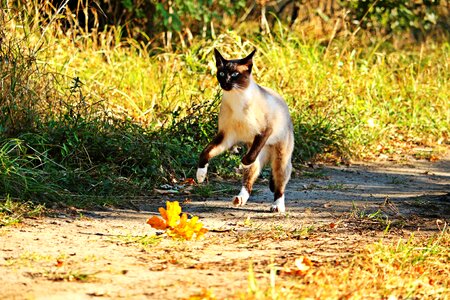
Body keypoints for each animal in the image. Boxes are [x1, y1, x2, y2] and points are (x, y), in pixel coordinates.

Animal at [195, 49, 294, 212]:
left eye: (235, 74)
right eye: (221, 73)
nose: (225, 82)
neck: (237, 99)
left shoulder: (264, 132)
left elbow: (248, 158)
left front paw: (241, 163)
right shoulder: (225, 136)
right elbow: (205, 152)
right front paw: (200, 176)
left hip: (280, 159)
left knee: (279, 184)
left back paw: (277, 206)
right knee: (249, 179)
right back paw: (240, 199)